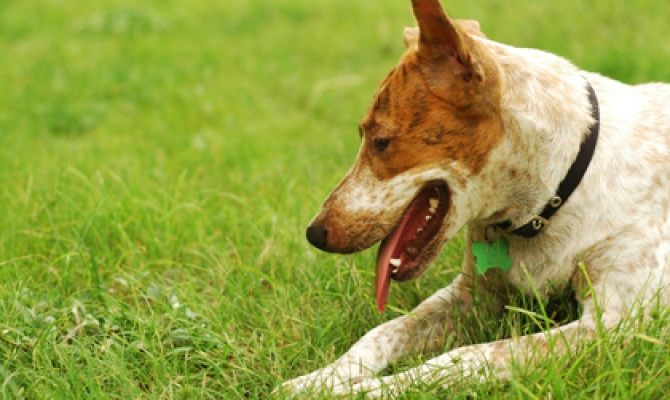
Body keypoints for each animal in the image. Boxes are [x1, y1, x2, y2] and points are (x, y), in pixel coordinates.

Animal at [278, 0, 670, 397]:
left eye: (382, 142)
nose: (314, 234)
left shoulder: (612, 327)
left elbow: (462, 358)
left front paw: (365, 390)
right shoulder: (471, 296)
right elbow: (380, 332)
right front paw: (317, 380)